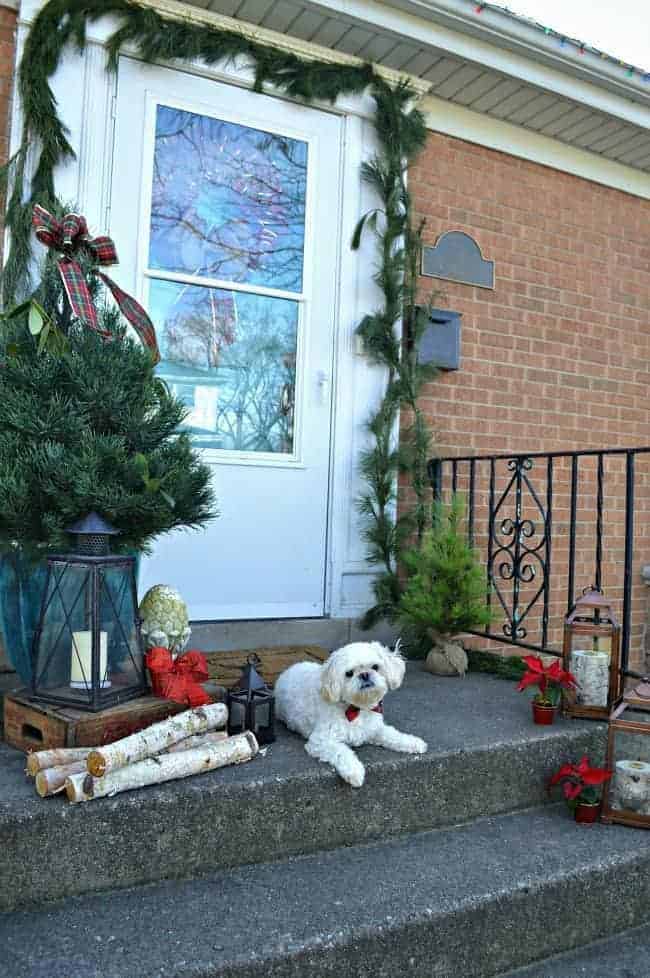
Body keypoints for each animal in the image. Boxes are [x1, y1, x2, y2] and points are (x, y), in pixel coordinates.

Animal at [274, 640, 426, 784]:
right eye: (349, 673)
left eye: (375, 667)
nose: (364, 674)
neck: (357, 708)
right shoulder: (321, 741)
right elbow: (341, 752)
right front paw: (354, 771)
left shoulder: (375, 729)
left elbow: (393, 735)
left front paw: (413, 742)